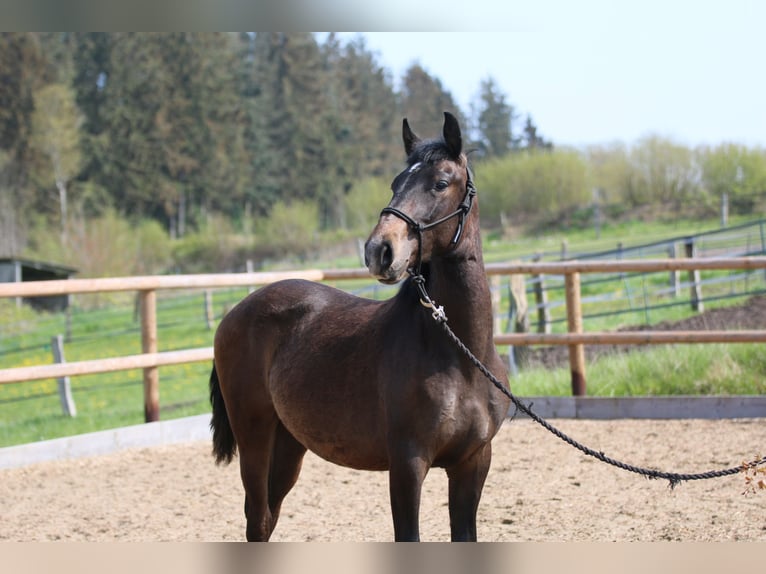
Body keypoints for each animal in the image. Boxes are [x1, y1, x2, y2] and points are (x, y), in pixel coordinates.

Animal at [207, 110, 512, 544]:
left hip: (289, 445)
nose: (379, 251)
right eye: (396, 184)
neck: (459, 356)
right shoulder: (407, 464)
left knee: (267, 517)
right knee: (257, 519)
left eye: (440, 183)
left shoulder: (473, 462)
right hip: (254, 437)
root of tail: (235, 314)